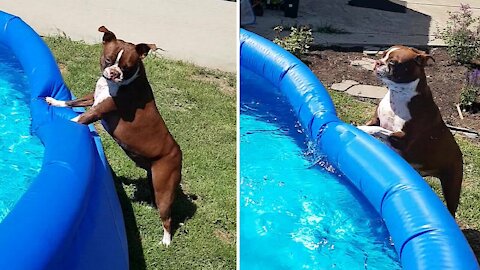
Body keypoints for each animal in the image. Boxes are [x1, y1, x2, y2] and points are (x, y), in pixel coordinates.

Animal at [45, 26, 182, 246]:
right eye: (108, 60)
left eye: (127, 67)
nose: (114, 73)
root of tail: (178, 152)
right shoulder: (92, 99)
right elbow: (72, 102)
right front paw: (53, 101)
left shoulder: (97, 111)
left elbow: (76, 119)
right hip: (153, 178)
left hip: (165, 186)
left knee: (167, 217)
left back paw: (166, 240)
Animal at [358, 45, 464, 216]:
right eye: (382, 55)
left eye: (393, 63)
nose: (378, 62)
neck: (398, 95)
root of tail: (459, 154)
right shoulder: (377, 119)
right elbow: (374, 125)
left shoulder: (403, 139)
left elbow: (378, 129)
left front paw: (361, 129)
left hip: (452, 184)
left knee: (451, 209)